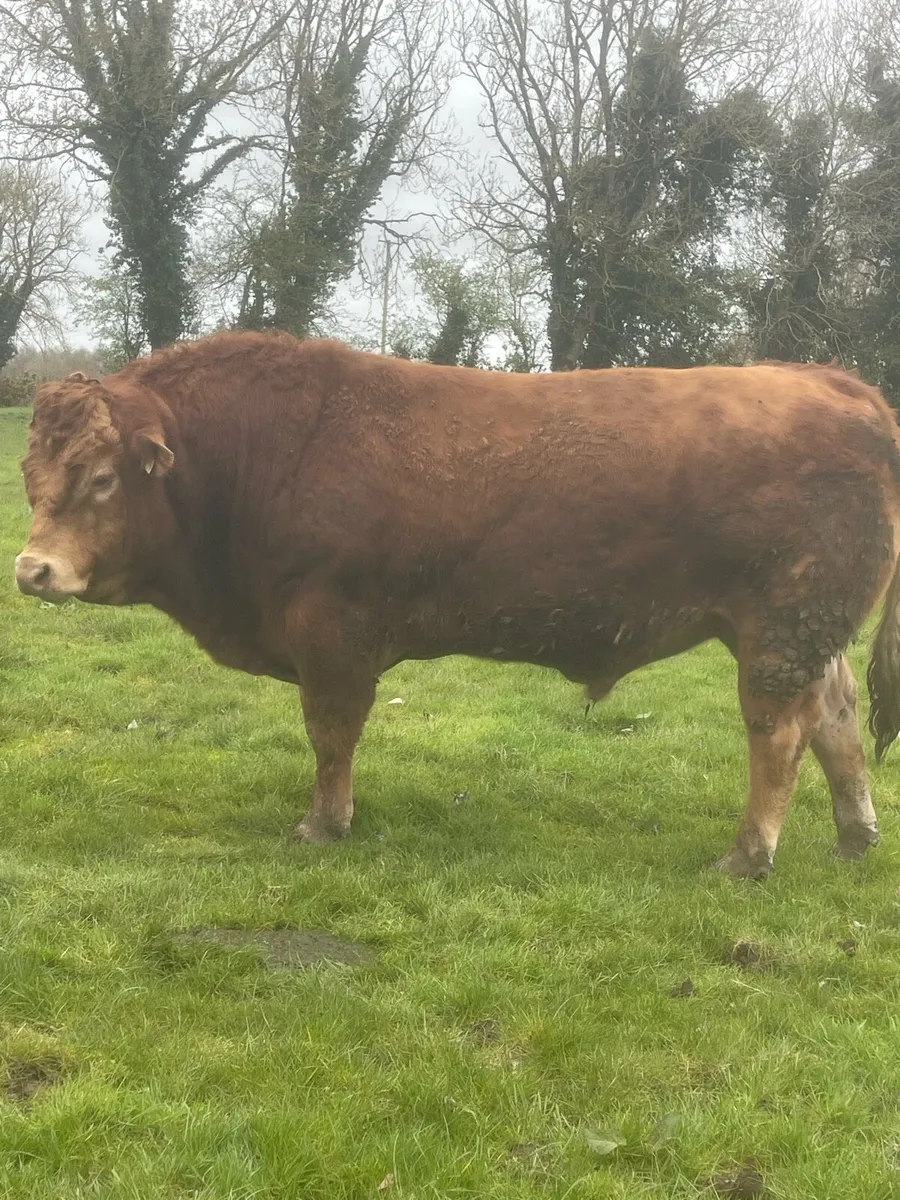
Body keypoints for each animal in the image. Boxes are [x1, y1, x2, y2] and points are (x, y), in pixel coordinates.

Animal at [13, 332, 900, 878]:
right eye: (31, 474)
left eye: (102, 477)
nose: (31, 569)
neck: (259, 456)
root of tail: (826, 379)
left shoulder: (333, 636)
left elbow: (331, 734)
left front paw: (323, 825)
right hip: (804, 634)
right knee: (835, 718)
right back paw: (854, 836)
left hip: (780, 629)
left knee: (779, 733)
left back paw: (748, 856)